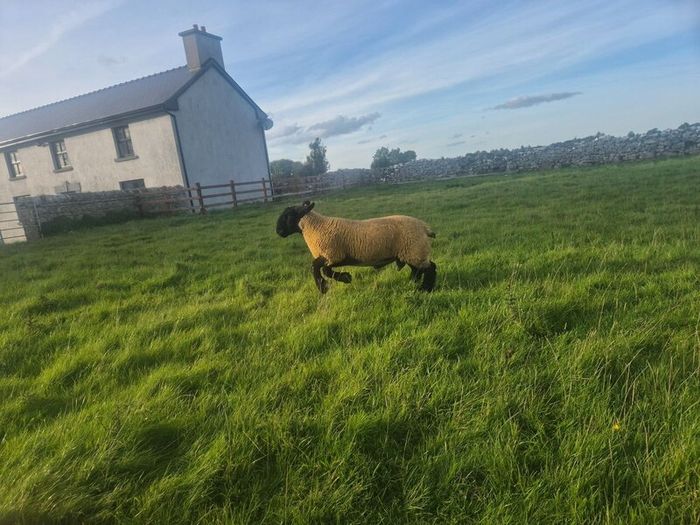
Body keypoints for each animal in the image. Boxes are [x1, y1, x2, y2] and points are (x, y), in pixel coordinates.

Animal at [276, 201, 437, 293]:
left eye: (288, 215)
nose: (278, 231)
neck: (315, 227)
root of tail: (424, 227)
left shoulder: (332, 255)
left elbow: (316, 267)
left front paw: (324, 287)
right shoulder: (333, 257)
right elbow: (326, 270)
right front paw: (345, 278)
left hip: (414, 250)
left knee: (430, 268)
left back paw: (425, 289)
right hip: (410, 252)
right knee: (417, 270)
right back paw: (413, 283)